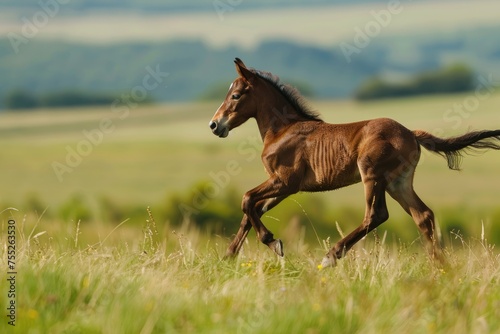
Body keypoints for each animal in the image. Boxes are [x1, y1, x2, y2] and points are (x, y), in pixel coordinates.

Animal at [208, 56, 500, 266]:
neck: (282, 130)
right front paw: (228, 257)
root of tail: (410, 133)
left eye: (235, 96)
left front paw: (273, 243)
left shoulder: (285, 182)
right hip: (399, 182)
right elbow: (251, 211)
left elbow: (246, 199)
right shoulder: (282, 188)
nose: (214, 125)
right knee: (423, 215)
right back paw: (440, 267)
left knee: (376, 214)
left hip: (372, 175)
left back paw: (331, 256)